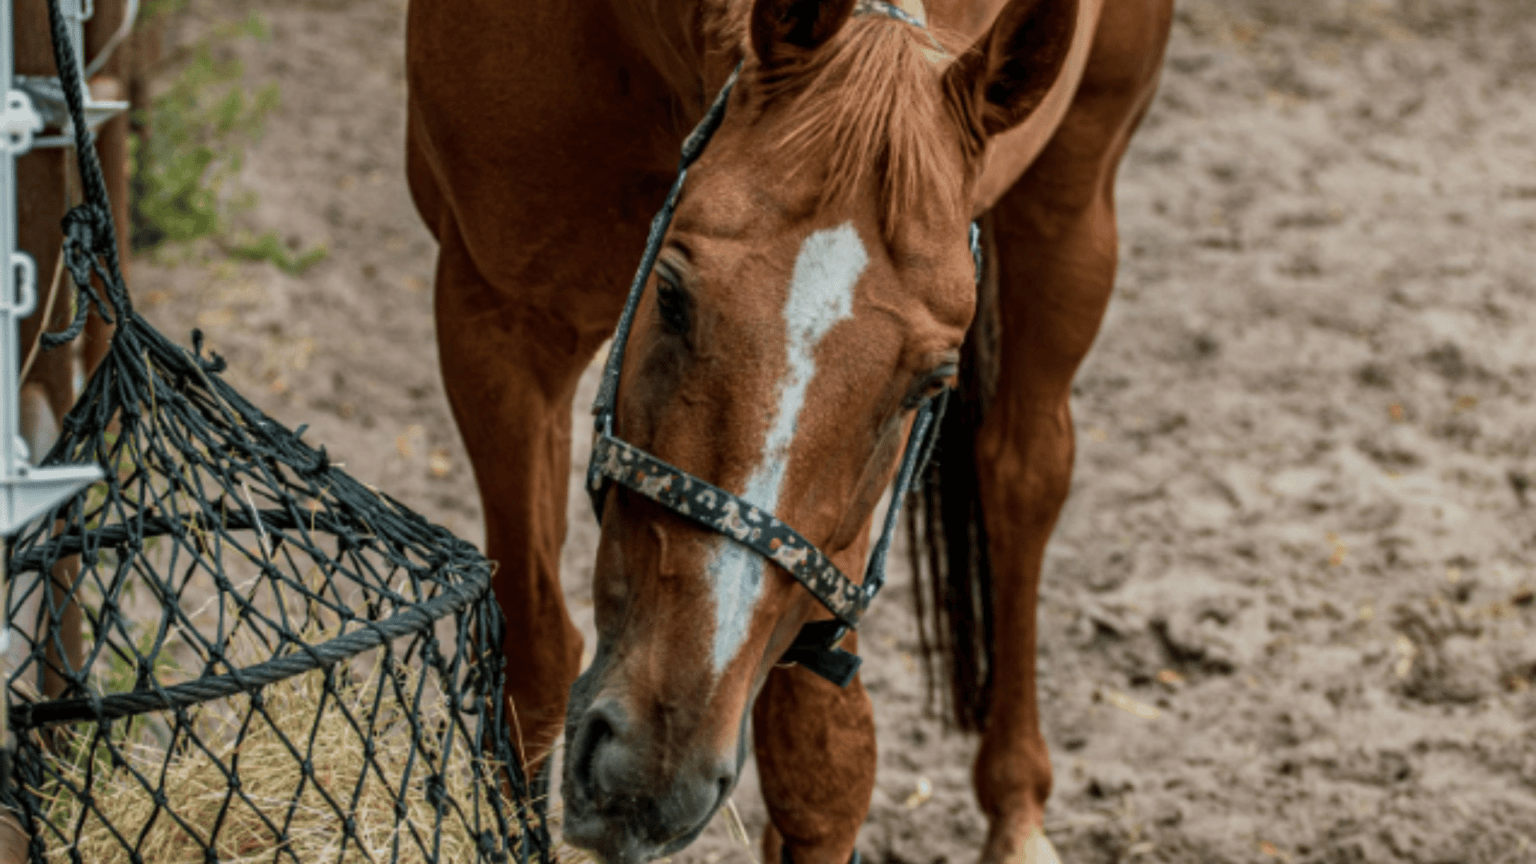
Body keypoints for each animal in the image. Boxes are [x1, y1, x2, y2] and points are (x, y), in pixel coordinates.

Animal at [405, 1, 1172, 862]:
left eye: (930, 383)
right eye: (670, 296)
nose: (653, 762)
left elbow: (821, 769)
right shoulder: (496, 325)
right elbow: (530, 663)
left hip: (1080, 189)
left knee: (1023, 475)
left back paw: (1017, 811)